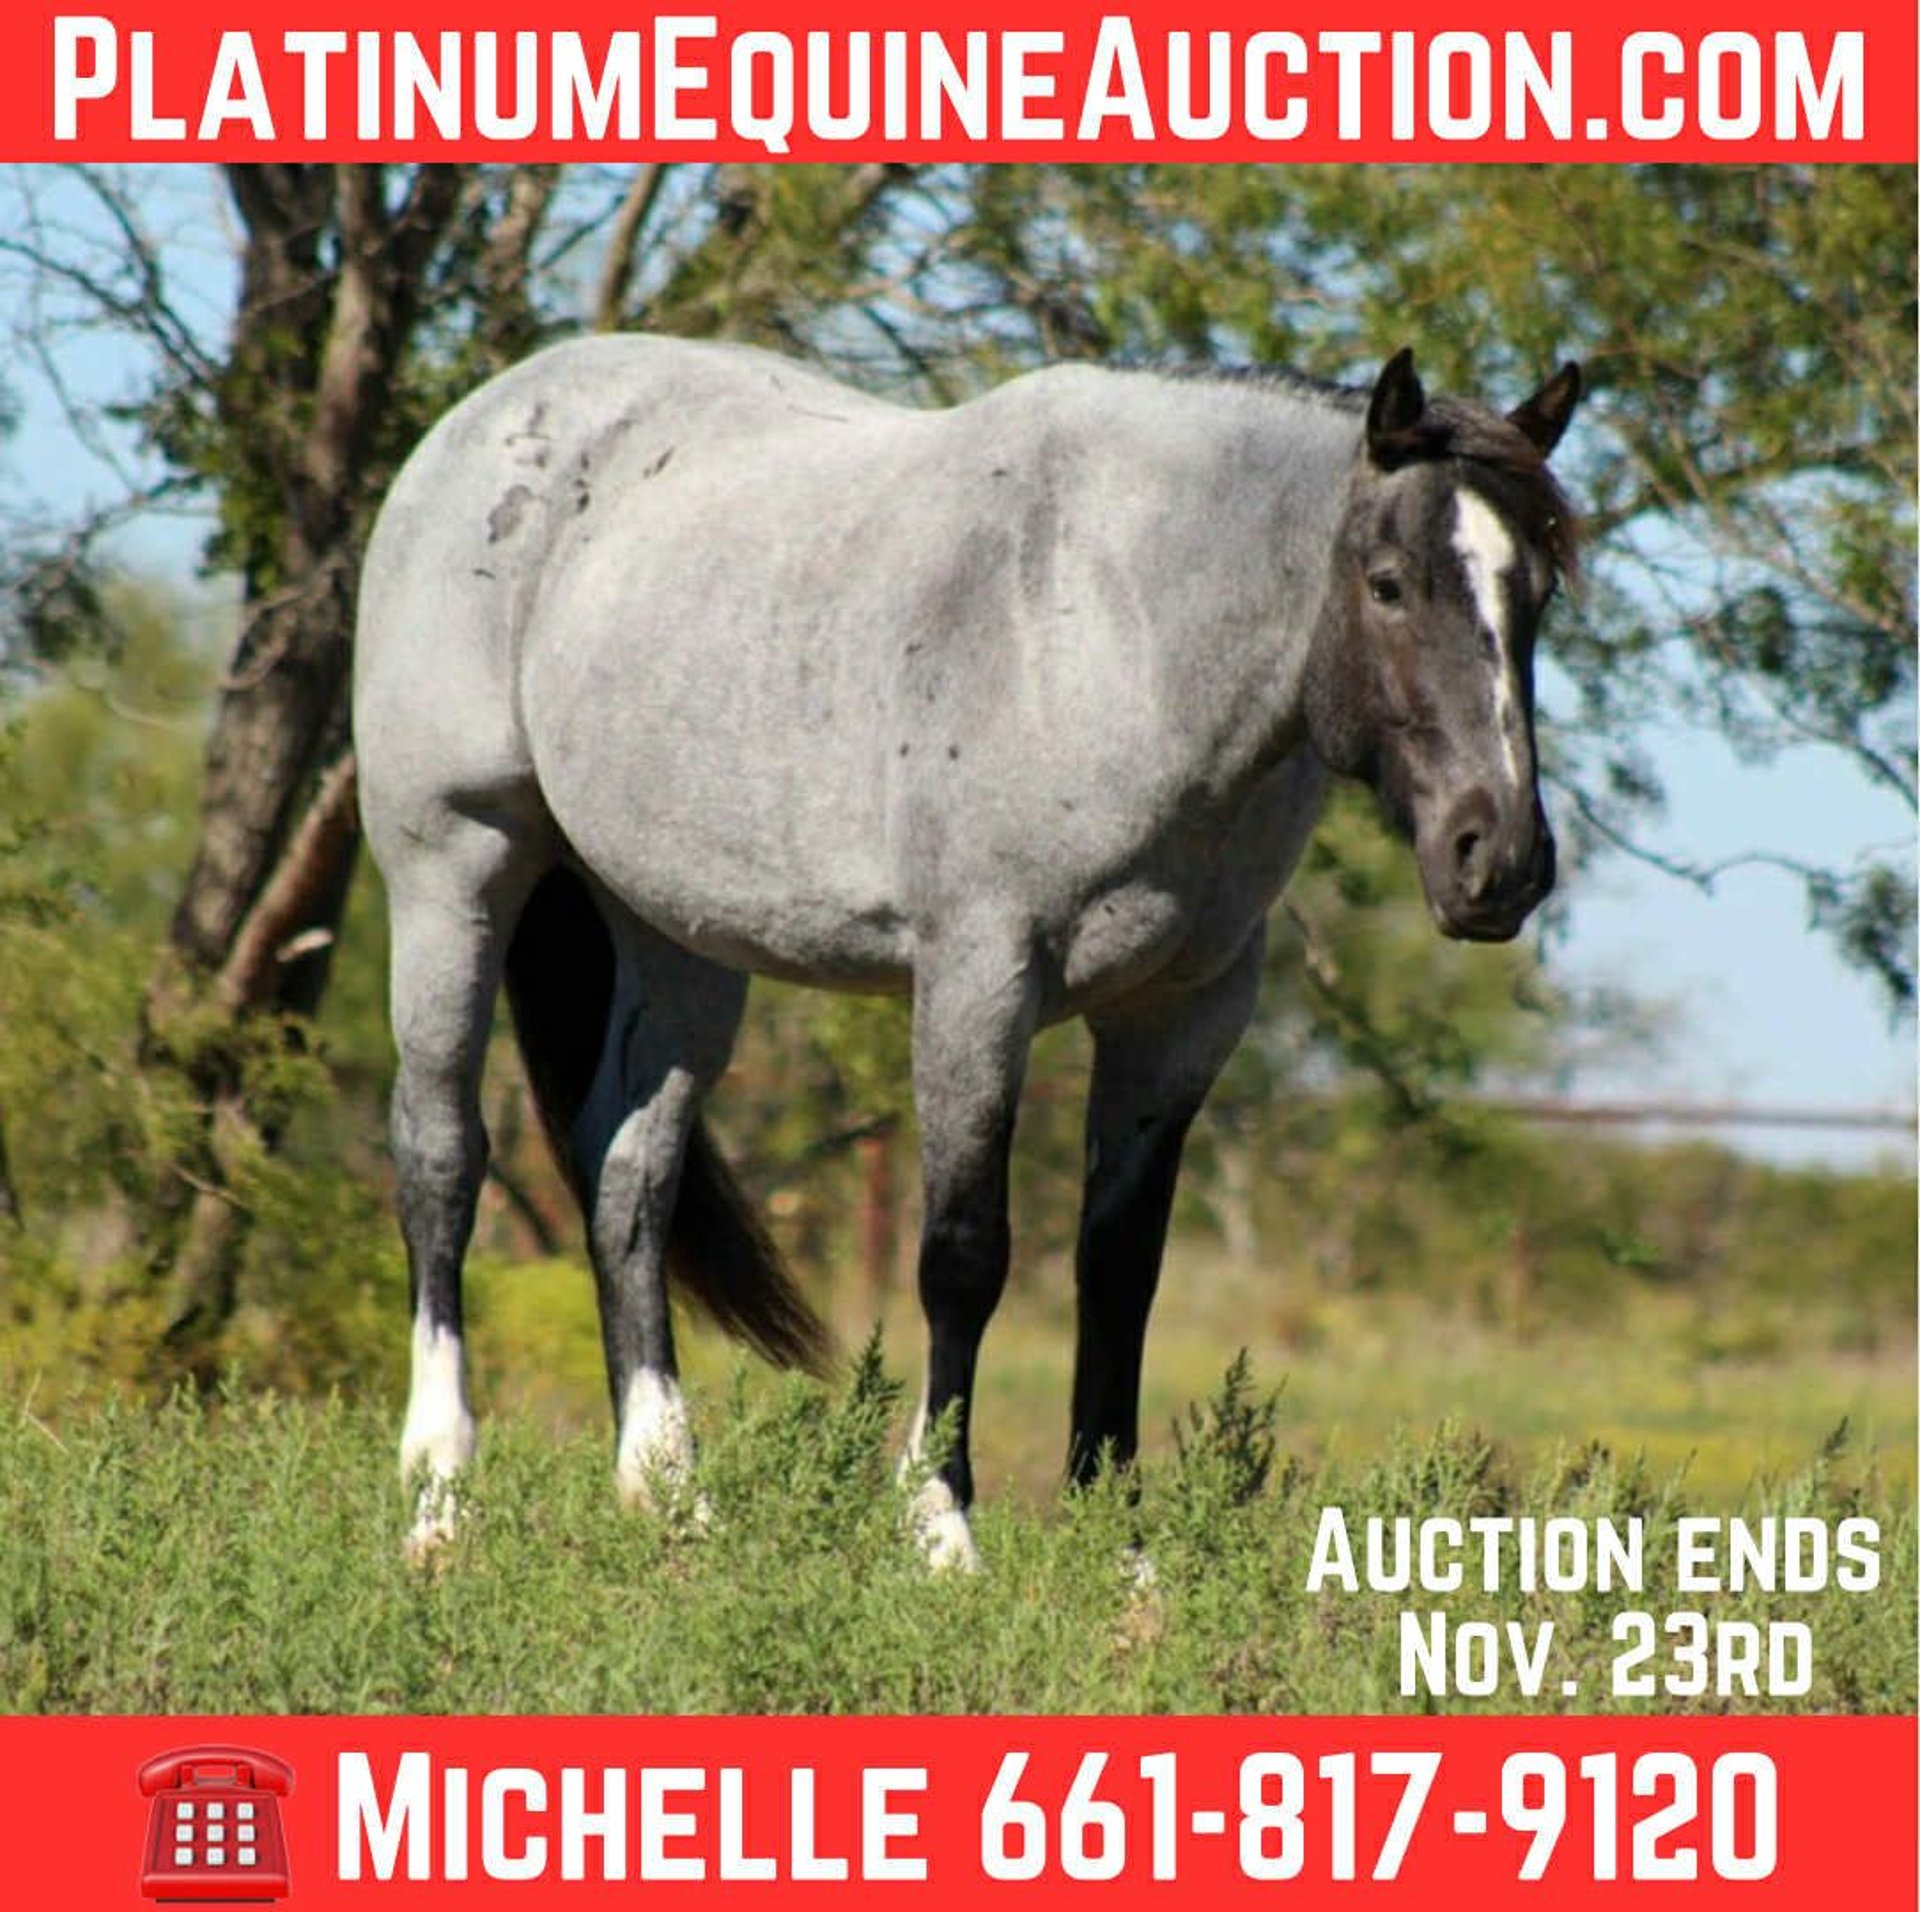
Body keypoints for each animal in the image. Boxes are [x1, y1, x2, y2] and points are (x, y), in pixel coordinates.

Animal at [353, 336, 1580, 1565]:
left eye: (1538, 592)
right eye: (1388, 582)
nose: (1499, 860)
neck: (1112, 623)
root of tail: (484, 417)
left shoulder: (1182, 1014)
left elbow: (1119, 1266)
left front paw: (1120, 1541)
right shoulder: (979, 977)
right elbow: (963, 1253)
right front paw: (940, 1527)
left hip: (677, 939)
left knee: (629, 1176)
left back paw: (672, 1495)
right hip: (455, 868)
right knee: (441, 1156)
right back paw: (438, 1497)